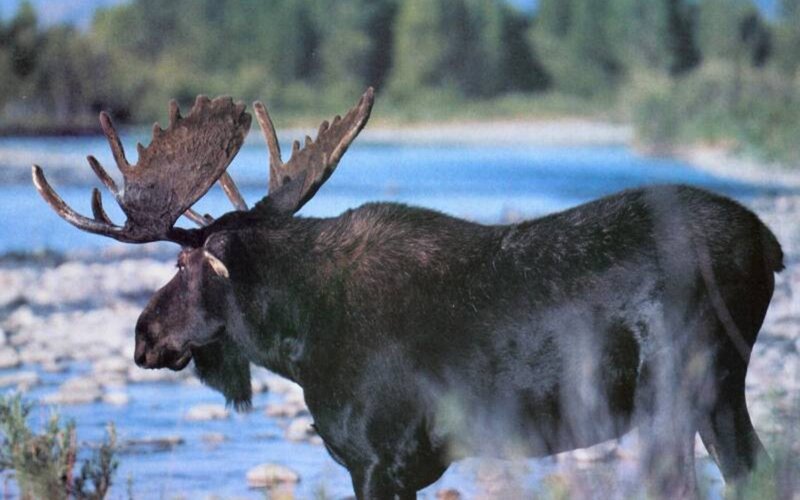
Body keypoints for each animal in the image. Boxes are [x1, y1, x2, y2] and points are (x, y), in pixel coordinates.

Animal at [32, 88, 783, 499]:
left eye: (186, 263)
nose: (143, 336)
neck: (297, 342)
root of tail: (769, 246)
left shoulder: (380, 459)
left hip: (682, 387)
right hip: (717, 395)